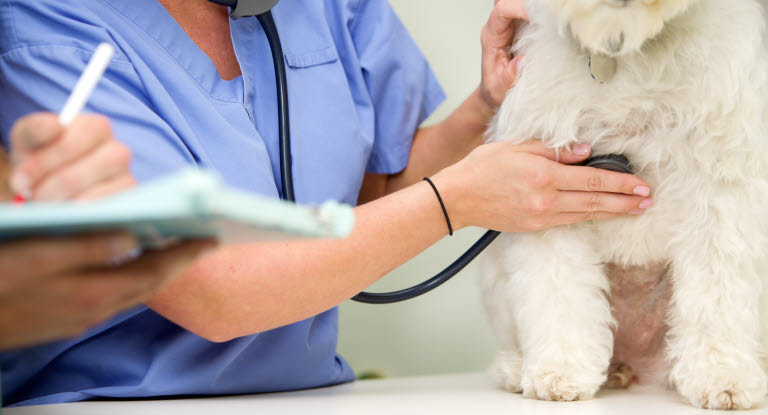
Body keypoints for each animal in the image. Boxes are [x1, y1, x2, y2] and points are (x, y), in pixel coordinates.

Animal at [480, 0, 768, 410]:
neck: (623, 49)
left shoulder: (721, 187)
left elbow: (717, 295)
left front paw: (722, 374)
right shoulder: (550, 188)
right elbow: (558, 291)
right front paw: (561, 369)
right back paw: (518, 368)